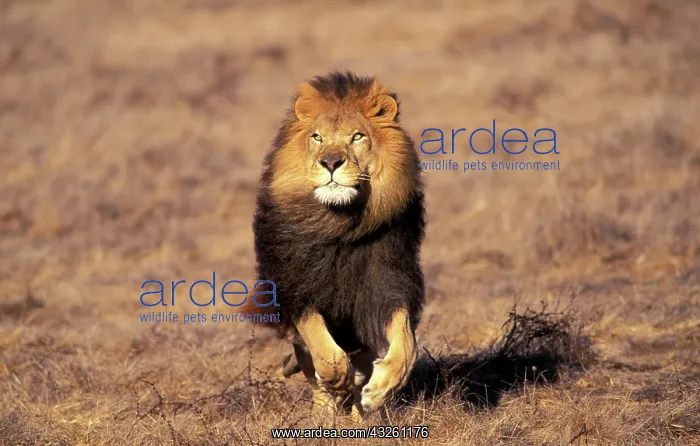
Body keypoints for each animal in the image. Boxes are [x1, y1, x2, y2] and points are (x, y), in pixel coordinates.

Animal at [244, 71, 425, 419]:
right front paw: (339, 381)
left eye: (357, 137)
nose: (330, 162)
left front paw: (379, 390)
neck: (341, 224)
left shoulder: (386, 283)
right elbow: (323, 350)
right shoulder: (297, 288)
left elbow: (406, 344)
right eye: (317, 137)